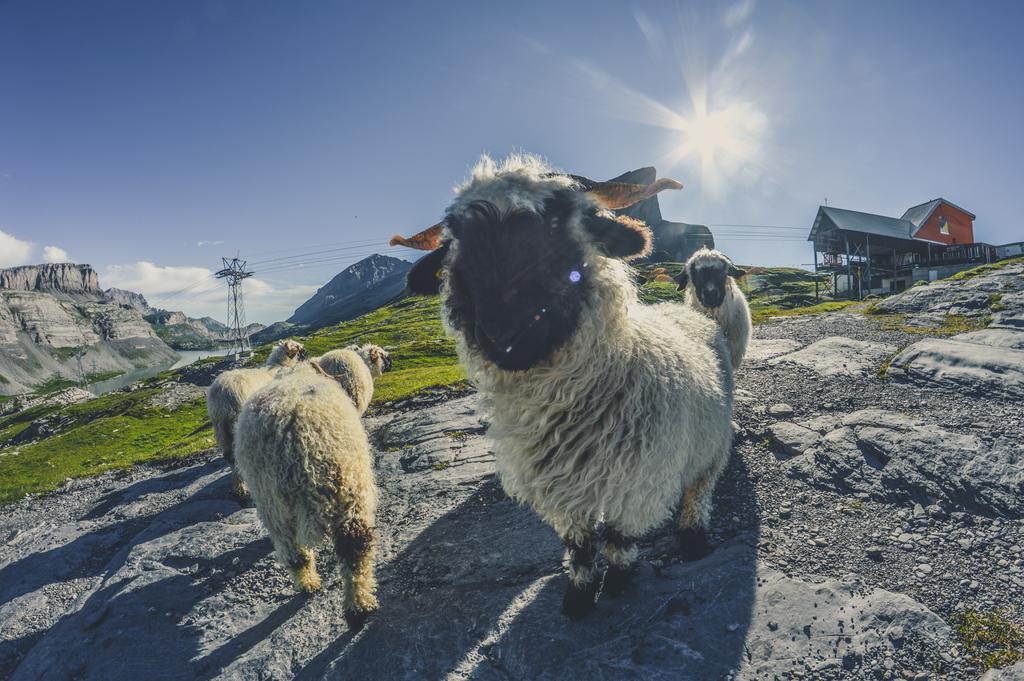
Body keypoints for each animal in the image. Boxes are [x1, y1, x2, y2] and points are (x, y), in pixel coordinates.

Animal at [206, 337, 303, 493]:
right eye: (297, 347)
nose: (305, 353)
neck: (279, 365)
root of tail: (222, 393)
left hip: (220, 427)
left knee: (229, 457)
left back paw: (239, 486)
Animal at [234, 358, 380, 630]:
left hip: (271, 501)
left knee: (295, 554)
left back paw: (310, 585)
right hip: (349, 485)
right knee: (355, 547)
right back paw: (359, 606)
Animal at [391, 152, 737, 614]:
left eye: (562, 223)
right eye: (457, 243)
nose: (505, 334)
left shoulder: (638, 484)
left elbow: (618, 538)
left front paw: (619, 579)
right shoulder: (563, 492)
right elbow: (581, 546)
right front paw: (579, 595)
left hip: (711, 442)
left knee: (700, 487)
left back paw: (693, 535)